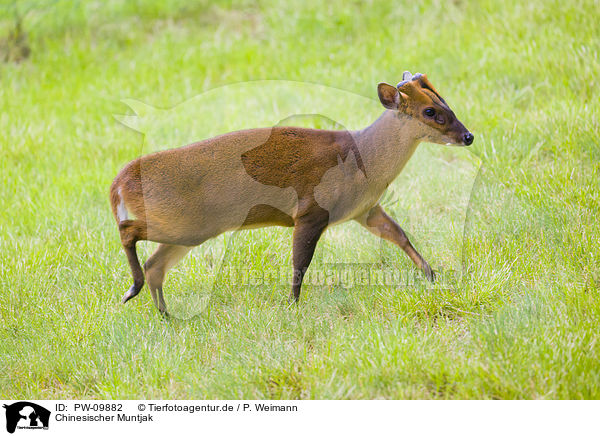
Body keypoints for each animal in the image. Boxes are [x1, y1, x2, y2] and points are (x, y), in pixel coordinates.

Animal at [109, 71, 474, 314]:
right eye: (430, 112)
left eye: (444, 101)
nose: (468, 136)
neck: (364, 162)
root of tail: (118, 184)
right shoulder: (311, 210)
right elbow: (300, 261)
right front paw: (292, 305)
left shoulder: (365, 209)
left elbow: (399, 235)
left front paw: (432, 275)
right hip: (184, 223)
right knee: (128, 233)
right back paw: (132, 290)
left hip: (185, 231)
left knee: (155, 264)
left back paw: (165, 315)